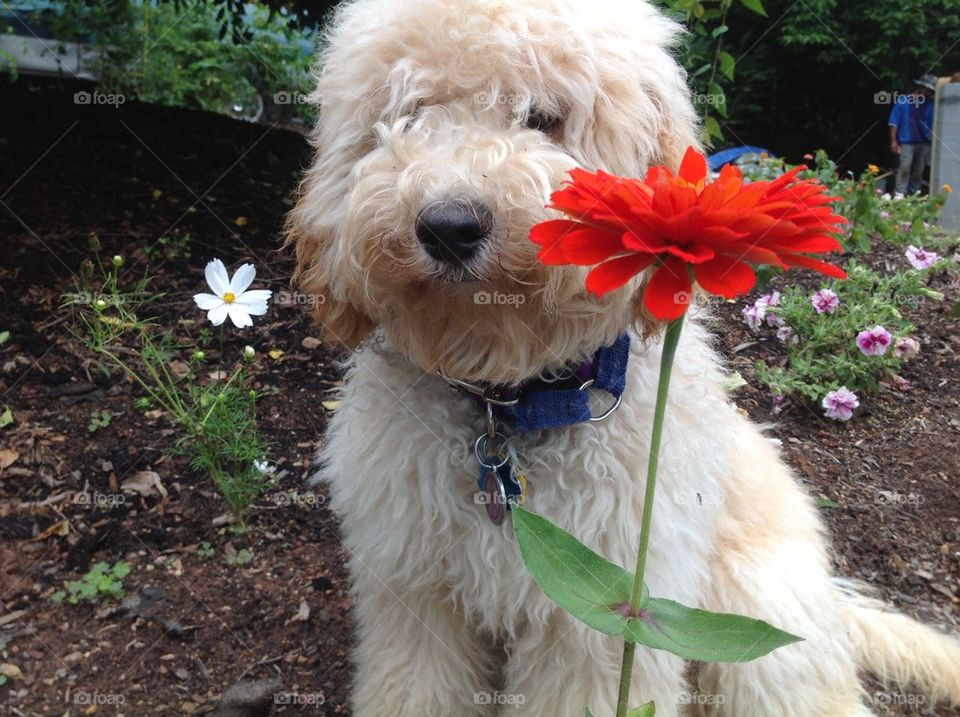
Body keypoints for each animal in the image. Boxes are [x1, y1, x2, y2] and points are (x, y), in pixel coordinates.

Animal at [284, 1, 960, 716]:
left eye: (544, 116)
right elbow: (416, 683)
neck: (509, 408)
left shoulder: (593, 621)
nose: (448, 226)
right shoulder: (415, 594)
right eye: (410, 112)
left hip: (761, 631)